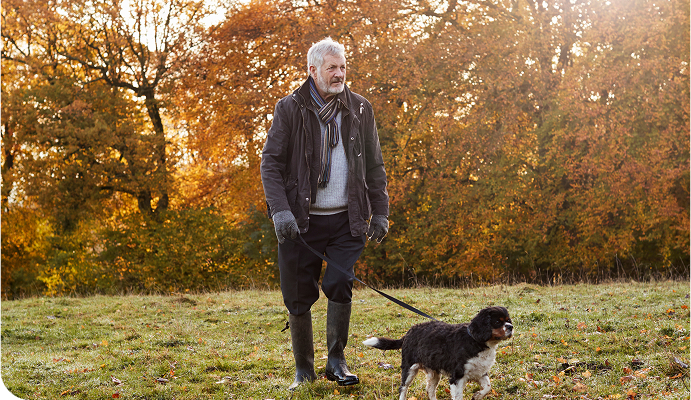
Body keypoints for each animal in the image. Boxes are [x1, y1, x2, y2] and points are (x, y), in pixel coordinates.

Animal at [362, 308, 512, 398]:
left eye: (508, 320)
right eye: (497, 321)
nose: (511, 327)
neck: (476, 342)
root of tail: (408, 333)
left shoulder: (480, 372)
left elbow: (488, 387)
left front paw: (478, 395)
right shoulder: (457, 377)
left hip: (434, 373)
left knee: (430, 389)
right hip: (409, 369)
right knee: (403, 388)